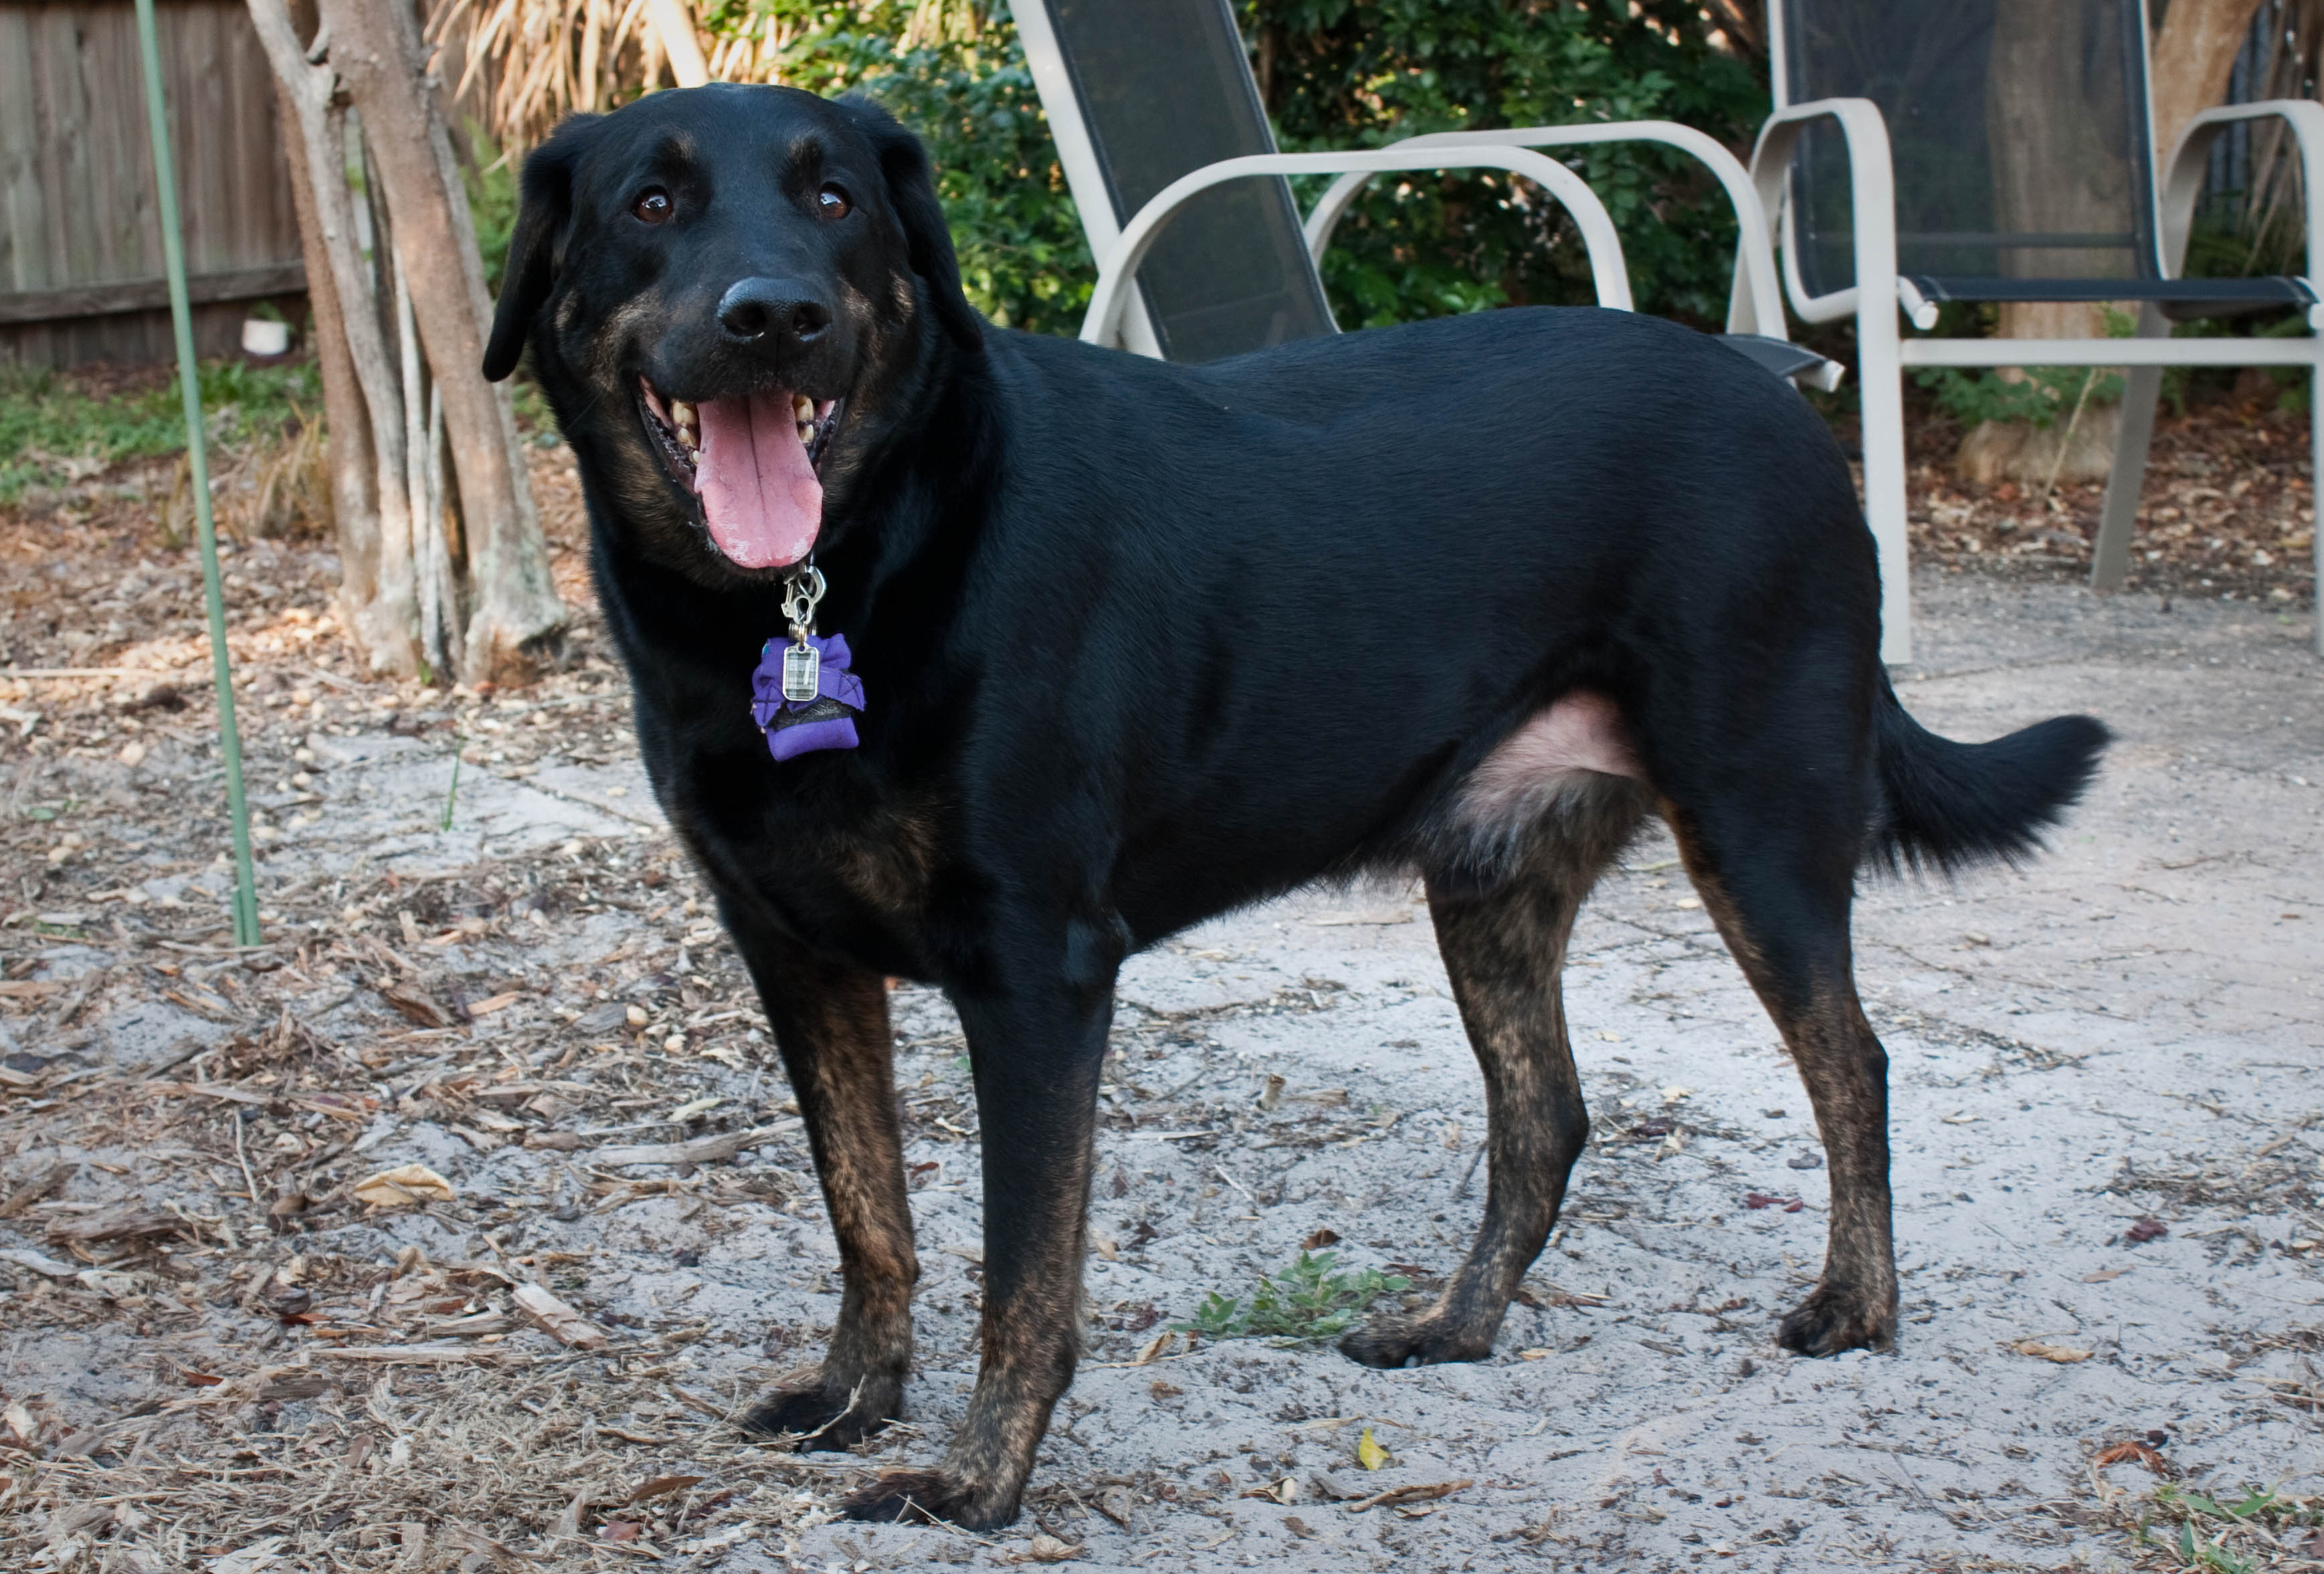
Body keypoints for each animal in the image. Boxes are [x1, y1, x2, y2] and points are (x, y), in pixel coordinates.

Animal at [483, 83, 2107, 1529]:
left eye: (833, 199)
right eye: (649, 206)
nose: (774, 316)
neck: (826, 585)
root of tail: (1764, 385)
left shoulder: (1035, 974)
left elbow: (1023, 1273)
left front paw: (976, 1482)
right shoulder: (793, 955)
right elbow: (865, 1210)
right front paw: (851, 1397)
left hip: (1758, 820)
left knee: (1854, 1067)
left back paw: (1853, 1306)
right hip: (1492, 875)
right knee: (1548, 1117)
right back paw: (1453, 1328)